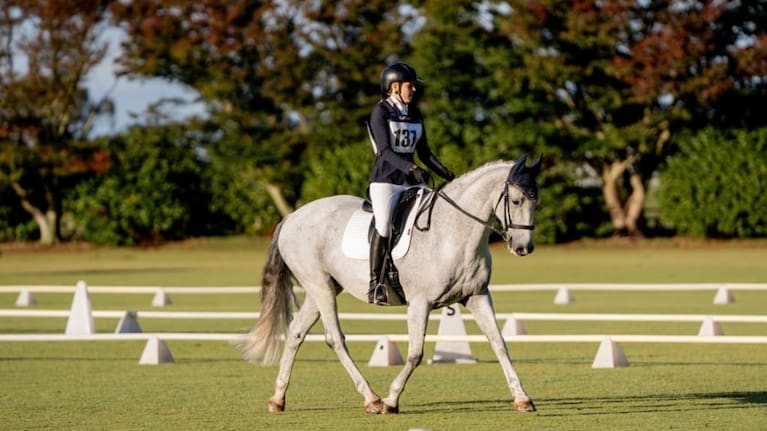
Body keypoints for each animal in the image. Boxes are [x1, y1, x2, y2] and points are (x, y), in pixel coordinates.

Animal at [236, 155, 541, 414]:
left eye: (536, 202)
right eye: (516, 201)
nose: (523, 248)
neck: (453, 232)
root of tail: (292, 217)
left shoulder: (477, 296)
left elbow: (499, 344)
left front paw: (522, 398)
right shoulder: (420, 303)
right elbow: (416, 353)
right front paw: (392, 400)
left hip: (322, 288)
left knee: (296, 332)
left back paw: (278, 399)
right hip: (320, 287)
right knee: (335, 339)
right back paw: (372, 399)